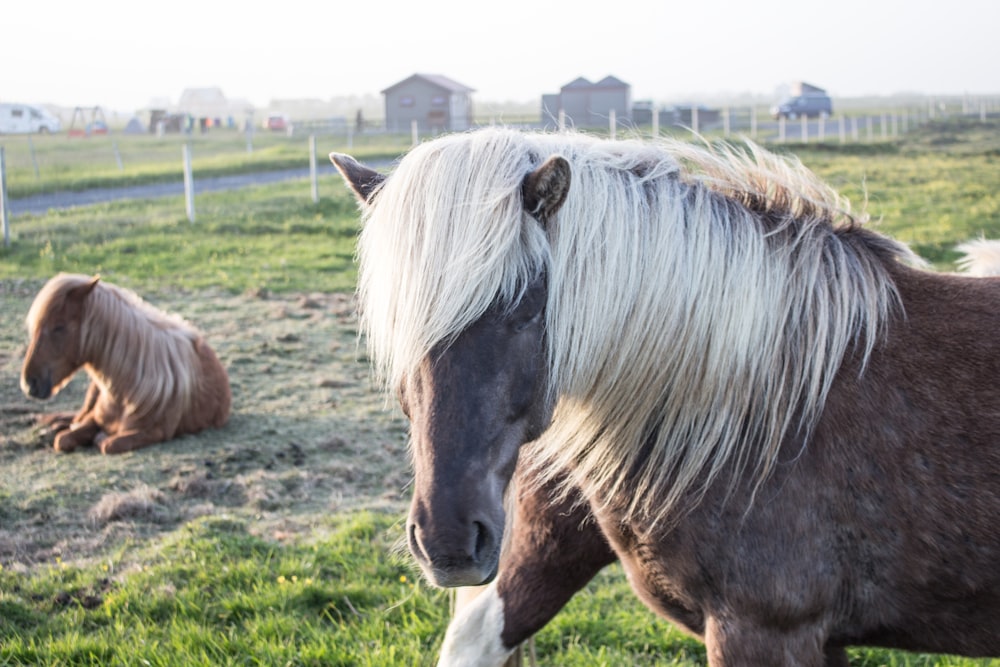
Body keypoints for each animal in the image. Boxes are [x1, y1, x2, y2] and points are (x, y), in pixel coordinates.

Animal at [22, 274, 229, 456]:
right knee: (74, 417)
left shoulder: (154, 433)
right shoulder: (93, 419)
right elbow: (63, 439)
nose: (29, 383)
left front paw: (99, 438)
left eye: (59, 327)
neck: (126, 391)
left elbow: (108, 444)